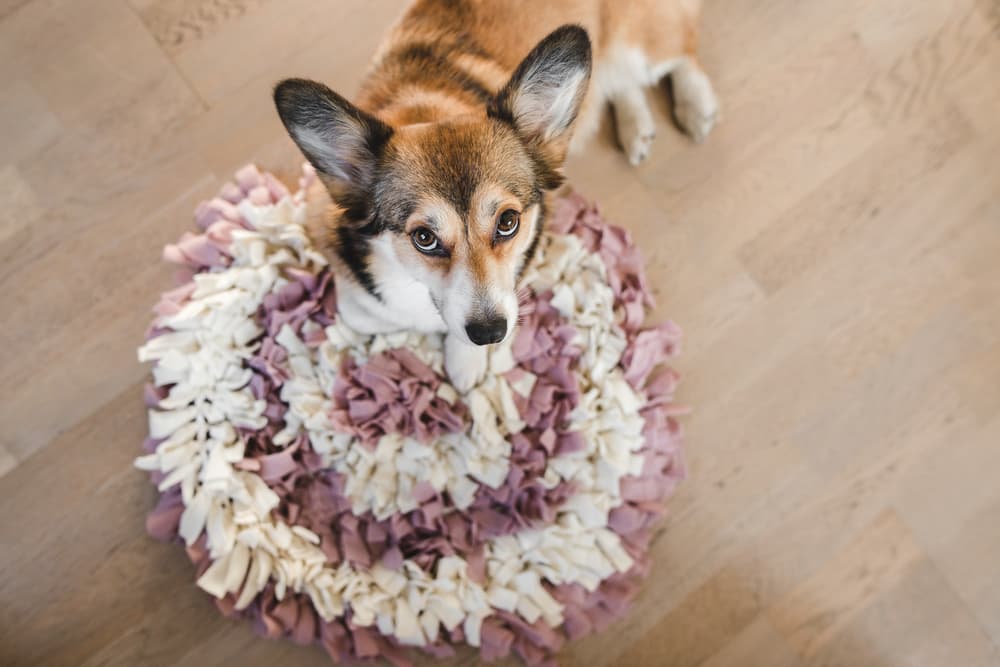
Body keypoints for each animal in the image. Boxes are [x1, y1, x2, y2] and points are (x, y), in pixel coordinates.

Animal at [270, 0, 716, 392]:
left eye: (508, 222)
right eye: (424, 238)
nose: (489, 333)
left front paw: (466, 361)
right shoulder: (356, 292)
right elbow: (366, 315)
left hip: (641, 47)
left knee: (681, 51)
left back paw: (696, 107)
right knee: (624, 82)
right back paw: (636, 126)